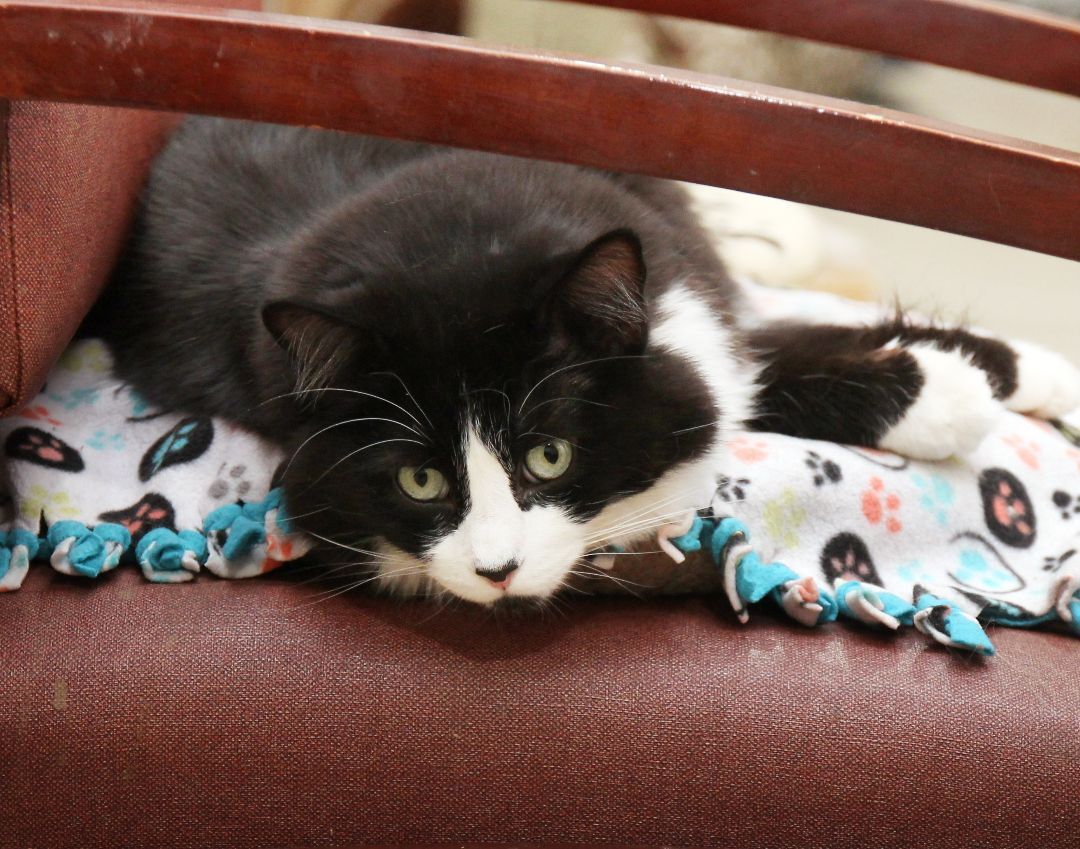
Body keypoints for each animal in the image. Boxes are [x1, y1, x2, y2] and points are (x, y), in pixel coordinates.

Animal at [97, 117, 1080, 600]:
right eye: (421, 480)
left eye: (548, 454)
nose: (496, 571)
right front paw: (953, 393)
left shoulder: (688, 299)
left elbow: (770, 353)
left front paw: (1006, 372)